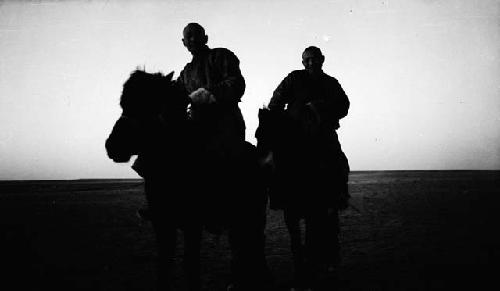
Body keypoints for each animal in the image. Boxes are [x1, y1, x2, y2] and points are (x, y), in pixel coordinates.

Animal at [105, 70, 270, 291]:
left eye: (151, 105)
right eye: (123, 104)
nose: (113, 145)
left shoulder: (193, 224)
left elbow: (190, 264)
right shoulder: (162, 223)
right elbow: (164, 263)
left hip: (253, 213)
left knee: (254, 242)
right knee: (241, 244)